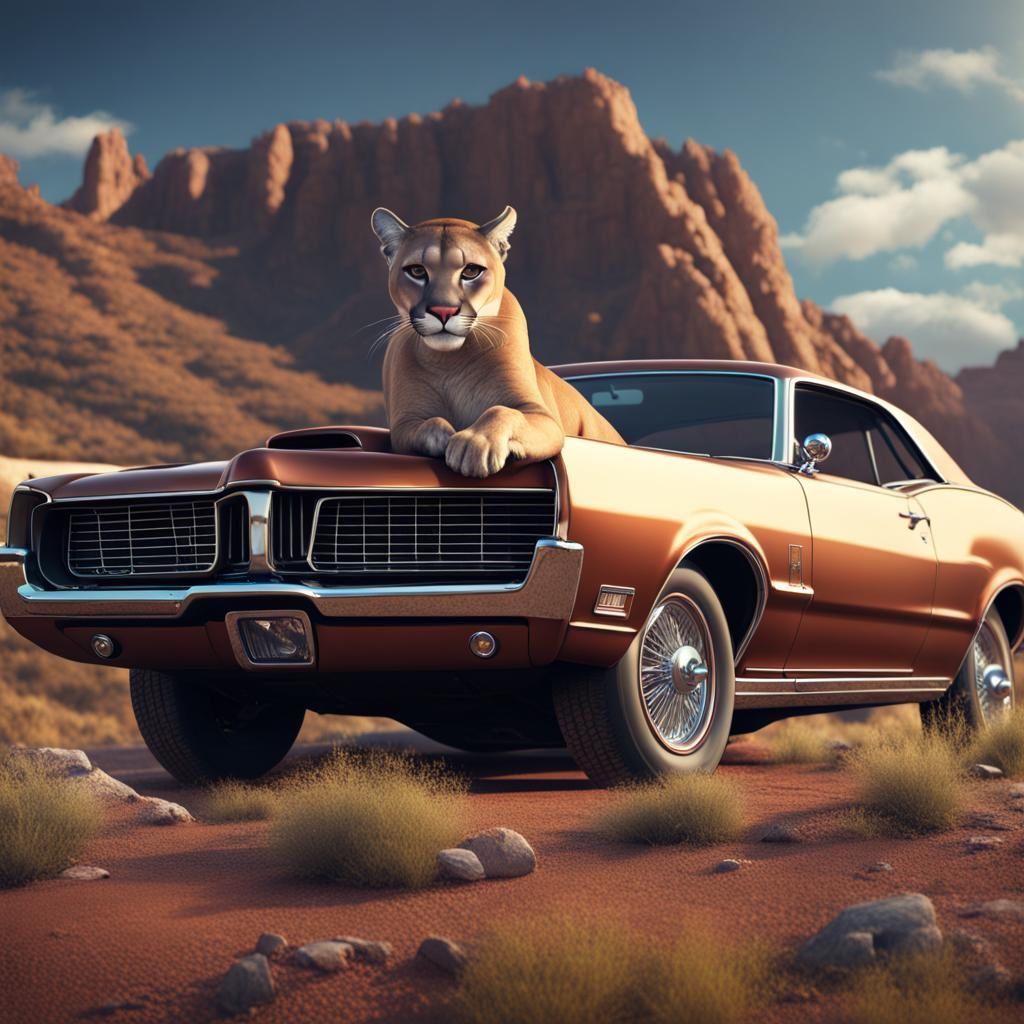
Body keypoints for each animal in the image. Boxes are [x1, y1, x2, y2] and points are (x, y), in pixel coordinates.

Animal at [370, 206, 624, 478]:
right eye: (417, 271)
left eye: (471, 271)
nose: (443, 311)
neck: (449, 361)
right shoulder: (405, 422)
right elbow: (426, 425)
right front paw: (446, 436)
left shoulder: (542, 416)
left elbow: (501, 410)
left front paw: (474, 444)